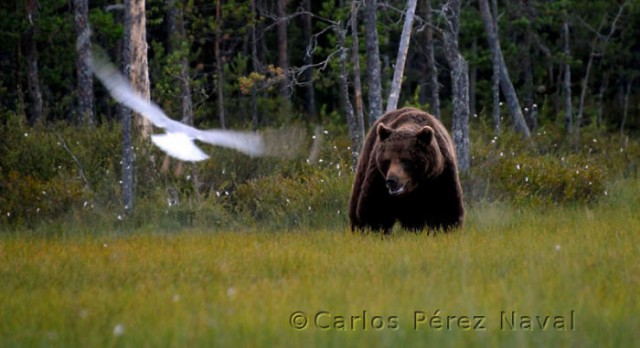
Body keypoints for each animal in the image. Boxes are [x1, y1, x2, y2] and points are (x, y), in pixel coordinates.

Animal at [350, 106, 464, 234]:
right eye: (387, 160)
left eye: (406, 160)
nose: (391, 181)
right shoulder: (378, 178)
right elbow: (374, 208)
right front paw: (374, 229)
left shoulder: (440, 176)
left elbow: (448, 208)